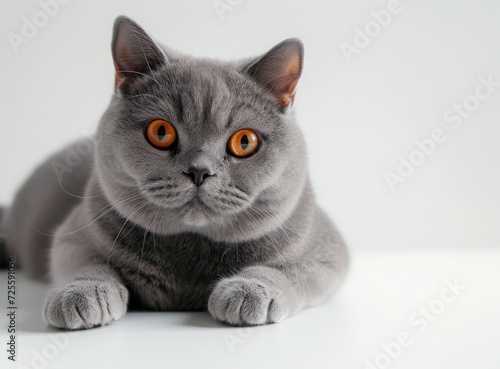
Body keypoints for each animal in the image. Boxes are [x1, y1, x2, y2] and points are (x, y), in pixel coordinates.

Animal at [0, 16, 350, 328]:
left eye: (245, 141)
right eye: (161, 132)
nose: (199, 171)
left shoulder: (326, 248)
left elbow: (288, 270)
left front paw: (249, 291)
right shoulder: (74, 231)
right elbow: (84, 259)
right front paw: (82, 294)